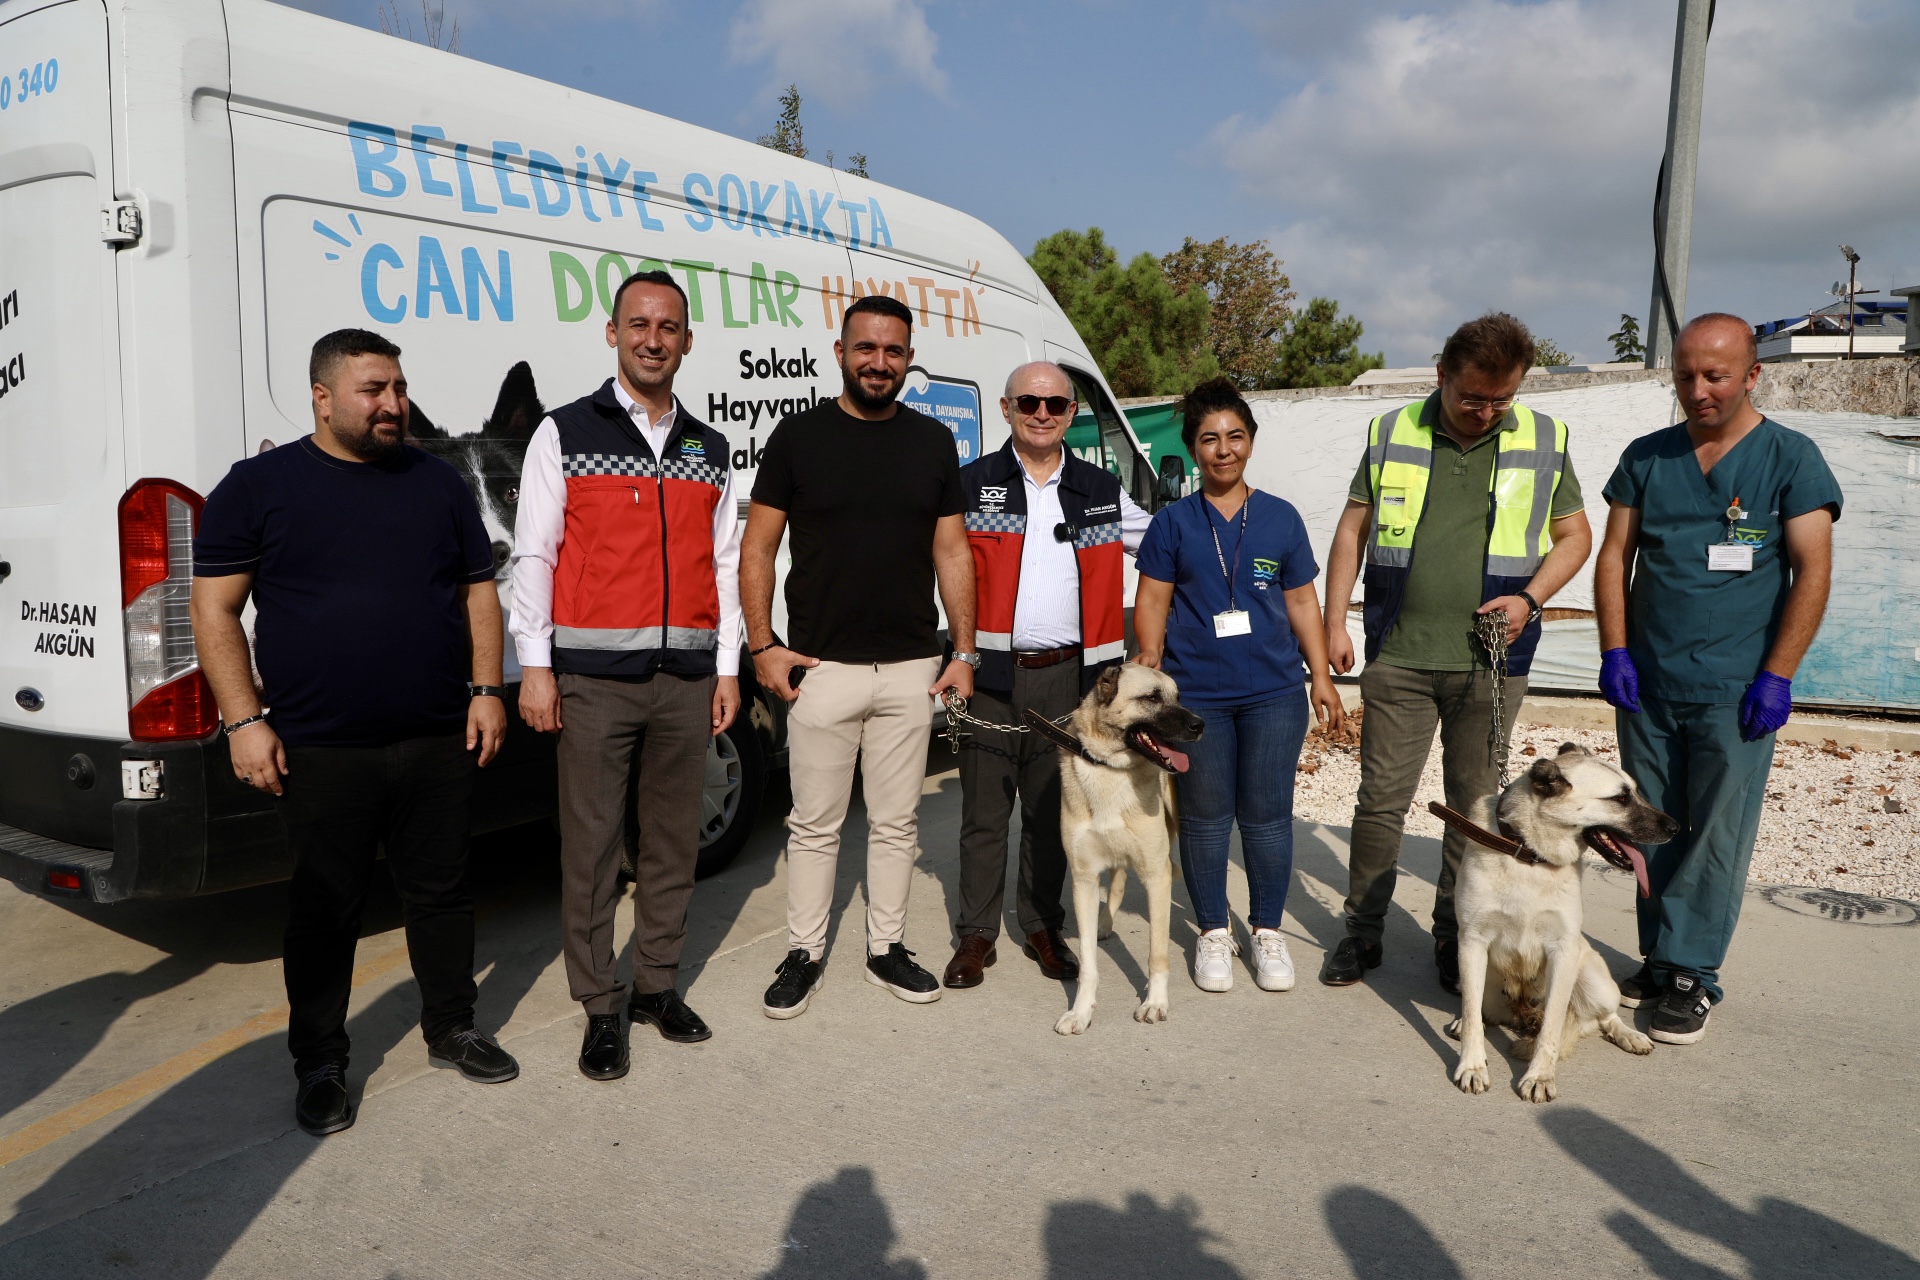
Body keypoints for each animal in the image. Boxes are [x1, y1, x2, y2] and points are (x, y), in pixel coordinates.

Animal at [1044, 667, 1205, 1036]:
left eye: (1178, 697)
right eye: (1151, 697)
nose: (1200, 724)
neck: (1110, 769)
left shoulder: (1157, 877)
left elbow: (1157, 954)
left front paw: (1155, 1003)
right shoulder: (1084, 880)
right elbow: (1088, 963)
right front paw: (1080, 1011)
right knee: (1117, 878)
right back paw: (1104, 923)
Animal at [1443, 744, 1681, 1105]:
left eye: (1635, 792)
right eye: (1620, 798)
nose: (1678, 828)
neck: (1529, 855)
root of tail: (1522, 1014)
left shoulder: (1563, 951)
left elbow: (1551, 1030)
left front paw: (1540, 1076)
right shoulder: (1471, 943)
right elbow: (1472, 1016)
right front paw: (1472, 1066)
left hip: (1594, 980)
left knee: (1605, 1017)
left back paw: (1629, 1035)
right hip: (1472, 974)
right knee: (1479, 1010)